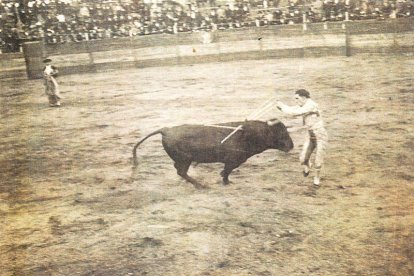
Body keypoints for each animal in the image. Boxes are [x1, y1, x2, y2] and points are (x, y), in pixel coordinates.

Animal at [132, 120, 292, 188]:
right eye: (281, 133)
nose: (291, 146)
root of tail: (166, 130)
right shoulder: (233, 160)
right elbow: (227, 171)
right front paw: (225, 181)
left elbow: (227, 171)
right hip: (186, 159)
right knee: (181, 171)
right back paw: (201, 185)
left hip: (183, 160)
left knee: (179, 170)